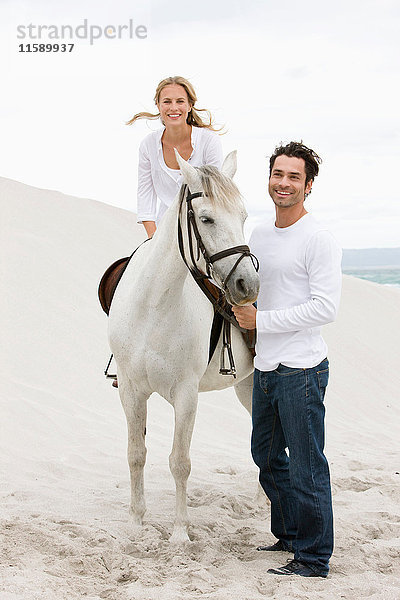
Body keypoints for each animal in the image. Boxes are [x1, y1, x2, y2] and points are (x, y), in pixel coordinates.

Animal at [108, 151, 260, 544]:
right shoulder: (130, 390)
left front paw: (179, 532)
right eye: (206, 218)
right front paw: (136, 522)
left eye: (243, 217)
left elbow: (180, 462)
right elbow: (136, 453)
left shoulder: (186, 395)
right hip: (246, 388)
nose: (248, 285)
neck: (154, 305)